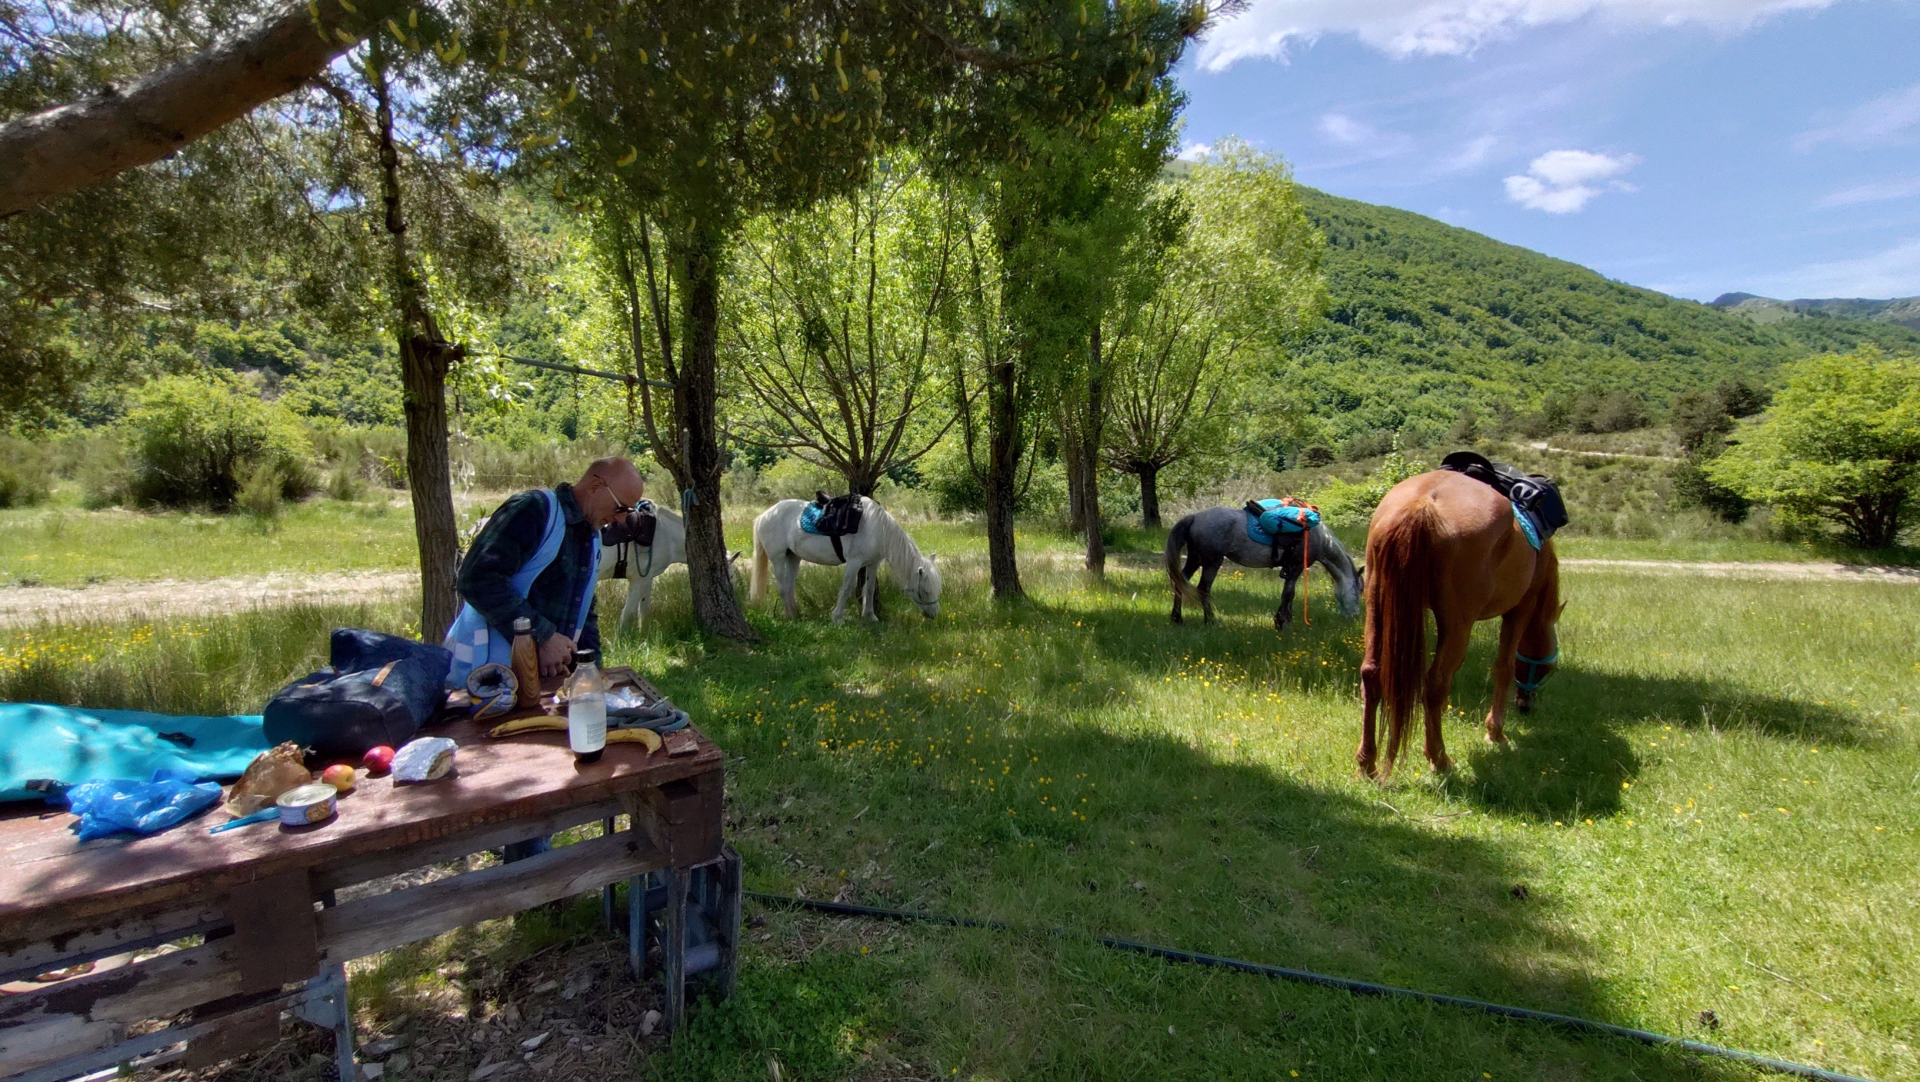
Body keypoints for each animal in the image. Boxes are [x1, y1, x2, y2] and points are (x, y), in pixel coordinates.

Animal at [594, 503, 687, 633]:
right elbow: (628, 614)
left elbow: (645, 610)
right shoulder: (638, 579)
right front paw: (621, 637)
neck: (666, 534)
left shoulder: (647, 577)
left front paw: (645, 634)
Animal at [749, 496, 942, 623]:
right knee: (782, 587)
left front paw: (870, 616)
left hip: (793, 557)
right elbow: (847, 588)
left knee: (789, 586)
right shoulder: (854, 563)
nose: (934, 615)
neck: (877, 529)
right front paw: (837, 618)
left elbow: (869, 589)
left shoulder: (873, 563)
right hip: (778, 558)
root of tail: (764, 516)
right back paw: (789, 616)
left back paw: (795, 613)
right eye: (925, 591)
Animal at [1163, 506, 1363, 630]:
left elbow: (1290, 595)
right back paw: (1211, 621)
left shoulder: (1291, 570)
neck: (1318, 537)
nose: (1355, 617)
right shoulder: (1296, 568)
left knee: (1180, 583)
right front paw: (1281, 622)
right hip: (1211, 562)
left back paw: (1177, 619)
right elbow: (1287, 594)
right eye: (1359, 591)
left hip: (1195, 560)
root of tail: (1195, 517)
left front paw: (1287, 620)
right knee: (1203, 589)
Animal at [1358, 469, 1563, 779]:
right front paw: (1496, 733)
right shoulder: (1520, 609)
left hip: (1376, 606)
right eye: (1547, 668)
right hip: (1457, 624)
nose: (1525, 704)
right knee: (1435, 684)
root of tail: (1422, 504)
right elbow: (1504, 667)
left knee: (1371, 674)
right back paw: (1439, 758)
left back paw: (1367, 762)